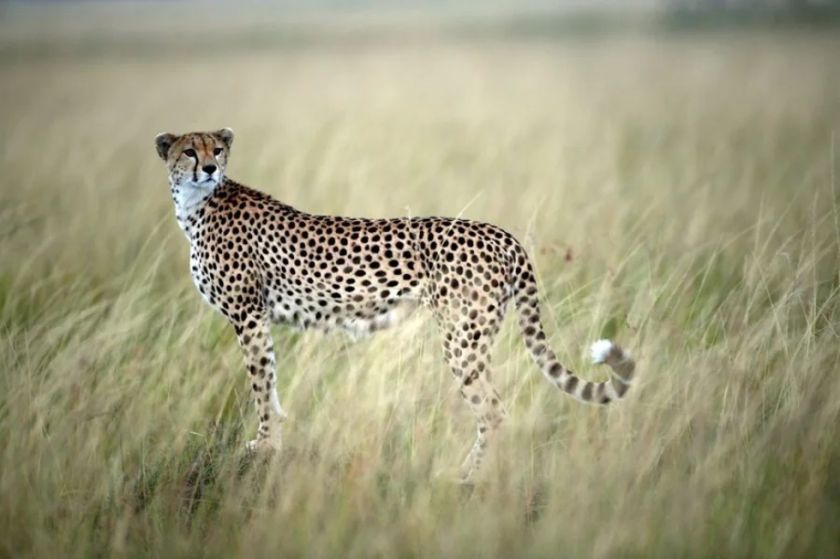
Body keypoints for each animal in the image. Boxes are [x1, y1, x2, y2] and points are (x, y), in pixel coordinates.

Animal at [155, 128, 636, 482]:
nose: (210, 168)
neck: (197, 206)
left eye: (216, 149)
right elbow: (269, 384)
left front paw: (265, 445)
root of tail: (500, 233)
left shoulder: (248, 315)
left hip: (462, 339)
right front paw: (272, 441)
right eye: (189, 151)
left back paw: (469, 476)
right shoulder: (256, 318)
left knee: (495, 411)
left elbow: (260, 383)